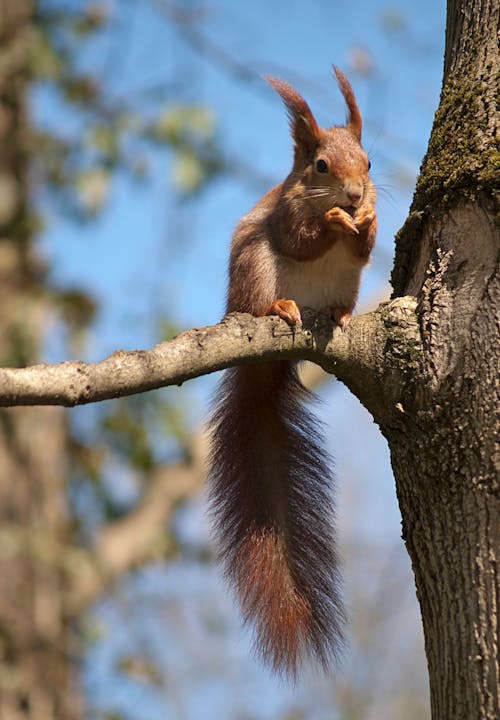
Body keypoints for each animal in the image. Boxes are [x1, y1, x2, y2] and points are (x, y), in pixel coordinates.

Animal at [207, 66, 376, 676]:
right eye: (320, 166)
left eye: (369, 162)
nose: (354, 195)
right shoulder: (282, 219)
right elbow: (300, 240)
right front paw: (332, 222)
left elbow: (365, 250)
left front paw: (367, 222)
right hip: (255, 271)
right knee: (264, 296)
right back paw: (280, 309)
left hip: (344, 286)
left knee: (344, 292)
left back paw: (339, 315)